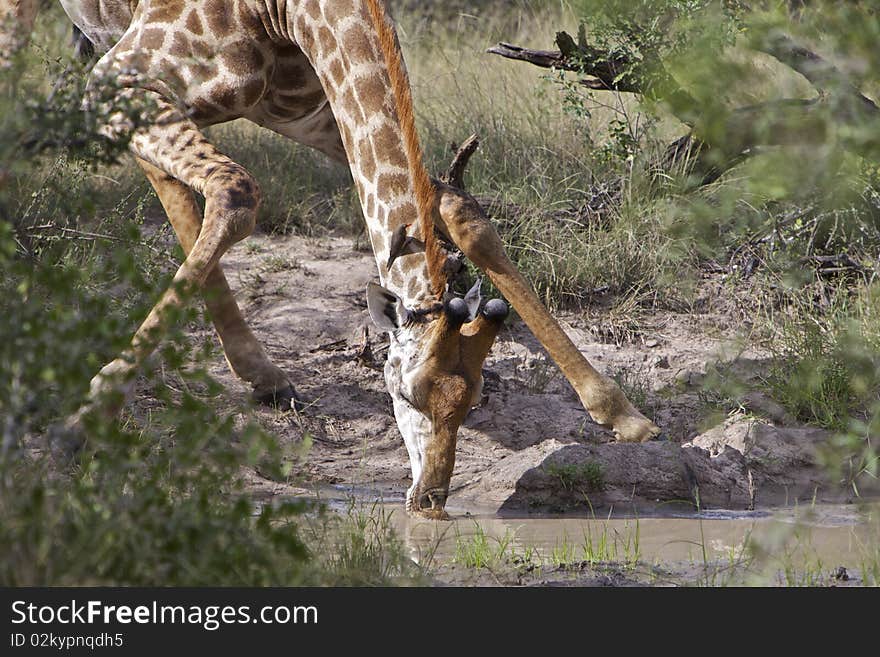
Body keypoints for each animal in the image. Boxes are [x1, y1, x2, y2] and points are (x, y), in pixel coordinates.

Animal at [1, 2, 660, 520]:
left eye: (473, 398)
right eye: (407, 392)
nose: (430, 500)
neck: (288, 13)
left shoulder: (309, 109)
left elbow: (457, 210)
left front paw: (625, 415)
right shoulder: (121, 74)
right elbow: (238, 192)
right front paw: (79, 421)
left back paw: (263, 373)